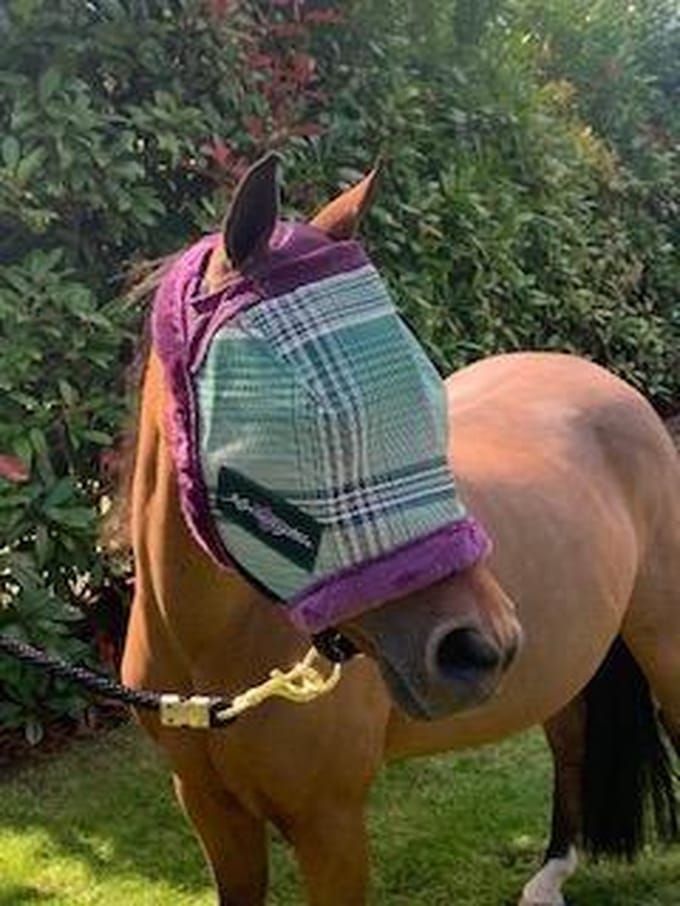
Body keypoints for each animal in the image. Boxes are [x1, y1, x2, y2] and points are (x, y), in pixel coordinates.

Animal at [118, 156, 680, 906]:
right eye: (302, 419)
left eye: (428, 394)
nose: (480, 646)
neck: (208, 652)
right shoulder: (213, 813)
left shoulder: (331, 826)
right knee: (570, 738)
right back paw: (551, 871)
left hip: (663, 639)